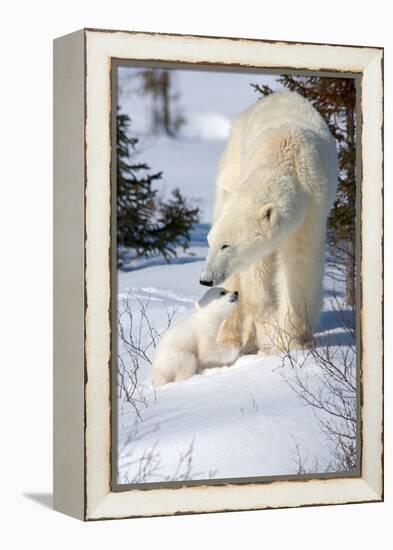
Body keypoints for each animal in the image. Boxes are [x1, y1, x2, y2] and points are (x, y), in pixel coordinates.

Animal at [199, 91, 336, 354]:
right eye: (211, 242)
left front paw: (293, 339)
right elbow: (257, 275)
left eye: (226, 245)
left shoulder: (312, 210)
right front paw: (271, 335)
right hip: (231, 165)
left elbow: (300, 265)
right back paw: (229, 338)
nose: (205, 279)